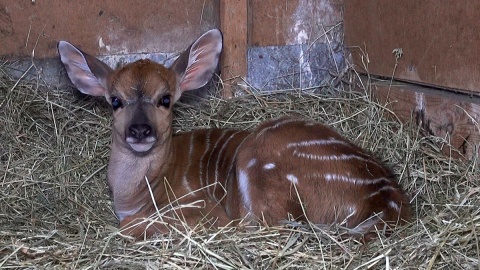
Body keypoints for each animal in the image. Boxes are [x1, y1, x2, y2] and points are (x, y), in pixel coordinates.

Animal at [58, 29, 410, 240]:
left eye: (166, 99)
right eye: (115, 100)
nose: (140, 130)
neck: (139, 192)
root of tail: (388, 200)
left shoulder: (198, 206)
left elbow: (128, 225)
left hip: (257, 158)